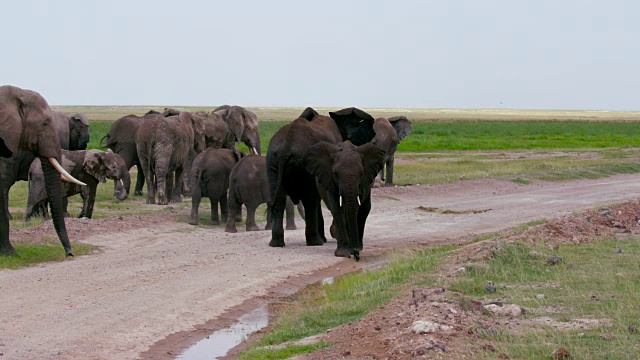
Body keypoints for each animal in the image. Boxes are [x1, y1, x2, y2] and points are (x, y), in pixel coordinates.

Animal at [266, 105, 378, 258]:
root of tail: (286, 146)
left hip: (272, 161)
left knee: (278, 200)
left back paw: (276, 243)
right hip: (303, 163)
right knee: (310, 201)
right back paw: (315, 242)